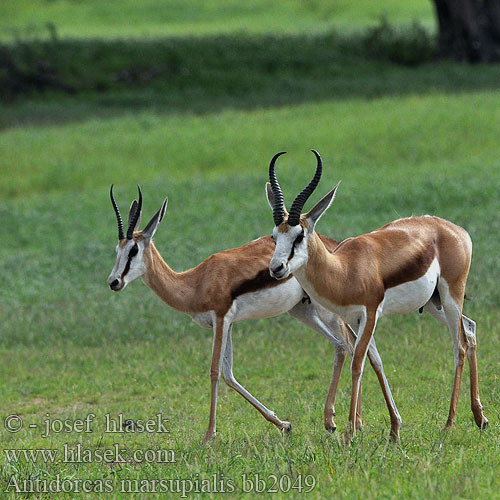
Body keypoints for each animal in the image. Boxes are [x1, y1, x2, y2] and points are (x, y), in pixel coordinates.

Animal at [106, 186, 398, 444]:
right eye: (117, 250)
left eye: (134, 250)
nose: (114, 282)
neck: (195, 282)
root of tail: (332, 246)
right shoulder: (225, 325)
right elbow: (228, 374)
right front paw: (284, 425)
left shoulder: (221, 319)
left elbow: (214, 371)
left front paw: (208, 436)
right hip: (302, 310)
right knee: (345, 346)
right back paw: (347, 421)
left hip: (329, 311)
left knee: (350, 346)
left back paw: (345, 422)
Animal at [266, 150, 488, 440]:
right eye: (274, 236)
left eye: (299, 235)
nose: (276, 268)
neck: (345, 270)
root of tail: (455, 229)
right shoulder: (354, 319)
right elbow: (376, 361)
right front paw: (394, 428)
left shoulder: (370, 314)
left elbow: (358, 363)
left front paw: (350, 433)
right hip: (433, 303)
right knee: (470, 329)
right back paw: (480, 417)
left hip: (452, 295)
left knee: (459, 345)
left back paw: (449, 423)